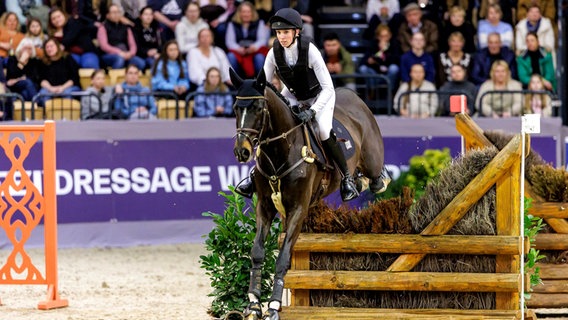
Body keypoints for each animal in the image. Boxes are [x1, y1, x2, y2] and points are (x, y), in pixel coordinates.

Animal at [230, 69, 386, 320]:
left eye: (258, 108)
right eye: (236, 108)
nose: (241, 152)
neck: (281, 151)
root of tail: (354, 96)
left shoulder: (298, 209)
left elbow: (283, 258)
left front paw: (273, 306)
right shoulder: (265, 206)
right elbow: (257, 252)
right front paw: (253, 304)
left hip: (372, 159)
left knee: (376, 179)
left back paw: (358, 183)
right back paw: (354, 182)